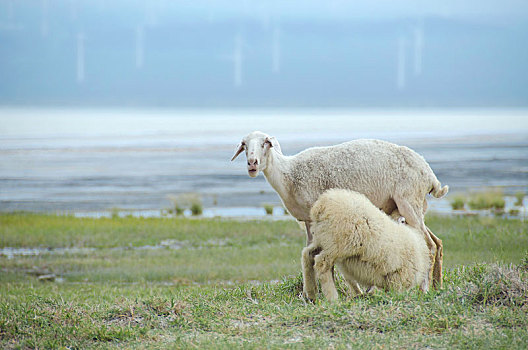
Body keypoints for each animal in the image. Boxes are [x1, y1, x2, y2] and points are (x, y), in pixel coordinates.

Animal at [230, 131, 446, 288]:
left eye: (265, 143)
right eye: (244, 145)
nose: (252, 163)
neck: (288, 174)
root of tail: (430, 174)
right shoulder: (308, 221)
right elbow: (308, 254)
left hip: (408, 201)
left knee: (429, 245)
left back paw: (424, 287)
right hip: (415, 206)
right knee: (437, 242)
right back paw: (437, 284)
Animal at [302, 189, 434, 300]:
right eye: (403, 220)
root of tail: (321, 206)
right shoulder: (398, 276)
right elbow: (395, 291)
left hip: (322, 239)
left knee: (308, 255)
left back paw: (311, 294)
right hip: (339, 245)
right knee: (321, 263)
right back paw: (333, 299)